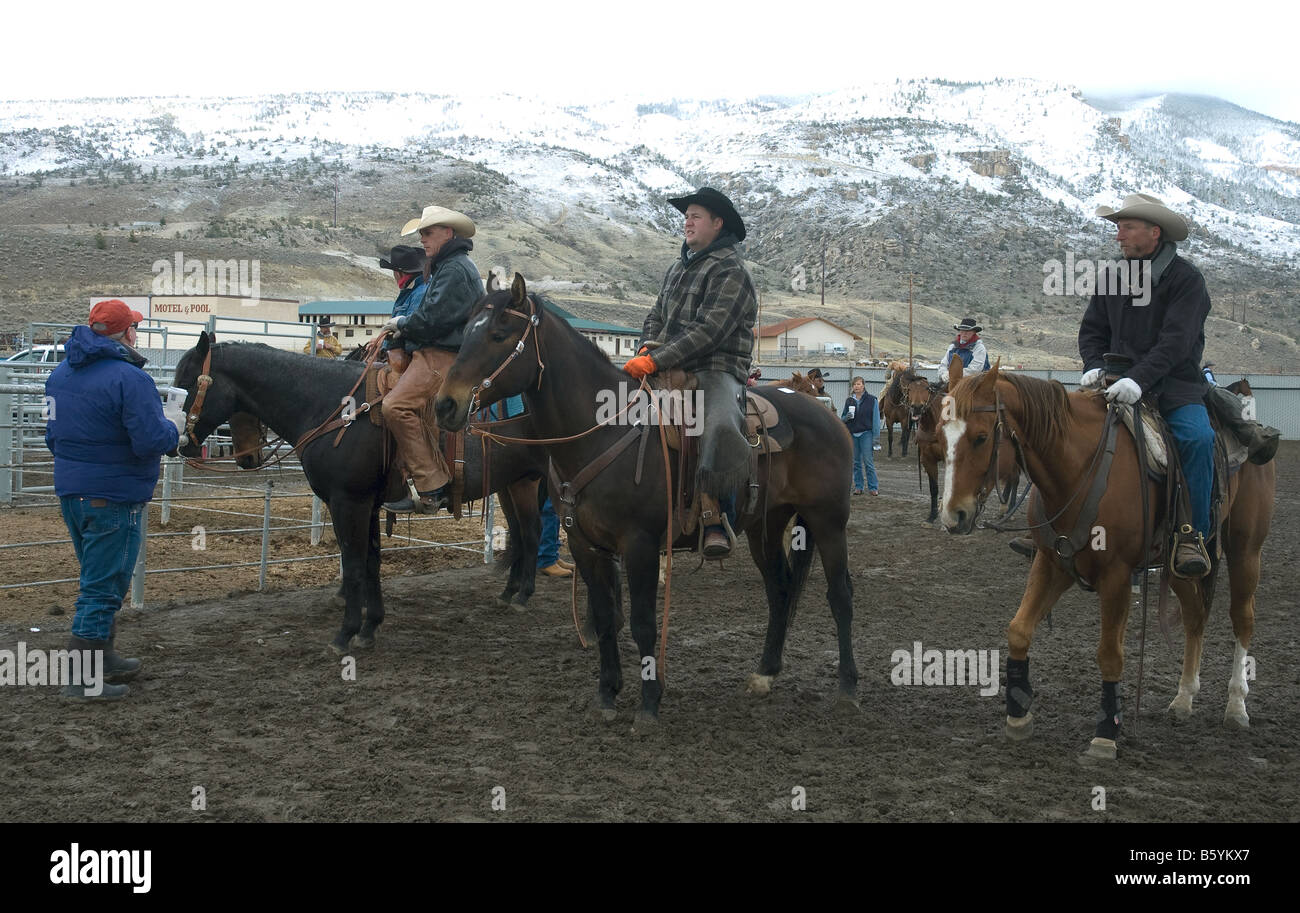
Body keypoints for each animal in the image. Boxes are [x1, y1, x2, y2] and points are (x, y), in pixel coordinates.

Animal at [172, 332, 548, 655]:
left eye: (188, 383)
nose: (183, 443)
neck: (334, 406)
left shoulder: (348, 502)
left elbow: (353, 565)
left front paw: (346, 633)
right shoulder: (368, 503)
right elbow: (370, 562)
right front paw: (370, 627)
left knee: (532, 532)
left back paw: (523, 596)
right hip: (516, 483)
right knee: (522, 533)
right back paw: (510, 593)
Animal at [436, 275, 863, 728]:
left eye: (498, 335)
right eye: (466, 334)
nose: (444, 405)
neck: (603, 431)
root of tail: (825, 413)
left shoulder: (638, 544)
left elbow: (642, 623)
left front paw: (649, 702)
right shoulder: (586, 546)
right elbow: (606, 617)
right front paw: (607, 693)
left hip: (828, 521)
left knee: (840, 595)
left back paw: (847, 688)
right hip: (766, 526)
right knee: (780, 589)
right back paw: (765, 673)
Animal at [941, 369, 1274, 759]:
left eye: (980, 437)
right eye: (942, 434)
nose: (953, 515)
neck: (1079, 466)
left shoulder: (1117, 574)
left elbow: (1110, 654)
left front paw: (1106, 733)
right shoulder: (1052, 562)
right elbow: (1019, 630)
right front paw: (1019, 715)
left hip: (1245, 551)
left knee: (1242, 618)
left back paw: (1236, 706)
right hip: (1179, 566)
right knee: (1195, 615)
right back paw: (1183, 699)